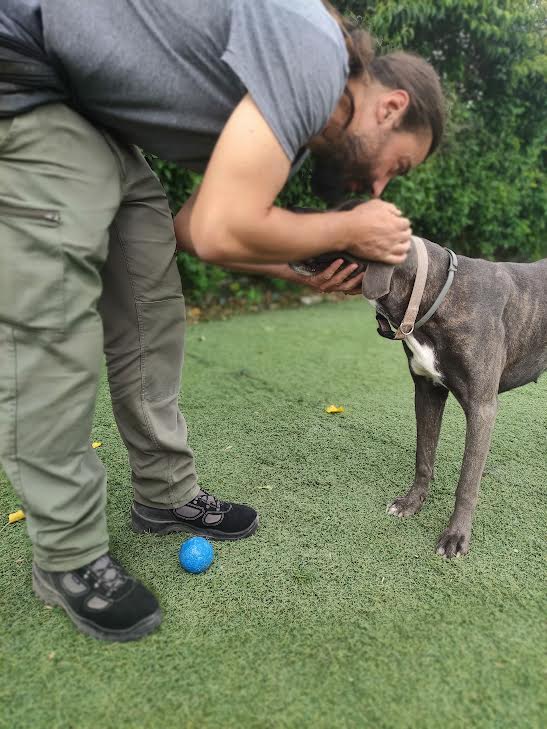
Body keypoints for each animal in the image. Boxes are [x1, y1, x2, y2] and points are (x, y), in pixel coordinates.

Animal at [291, 201, 547, 557]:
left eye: (343, 214)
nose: (291, 213)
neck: (434, 293)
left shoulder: (482, 407)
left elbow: (467, 480)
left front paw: (456, 536)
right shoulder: (426, 391)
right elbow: (423, 455)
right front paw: (413, 503)